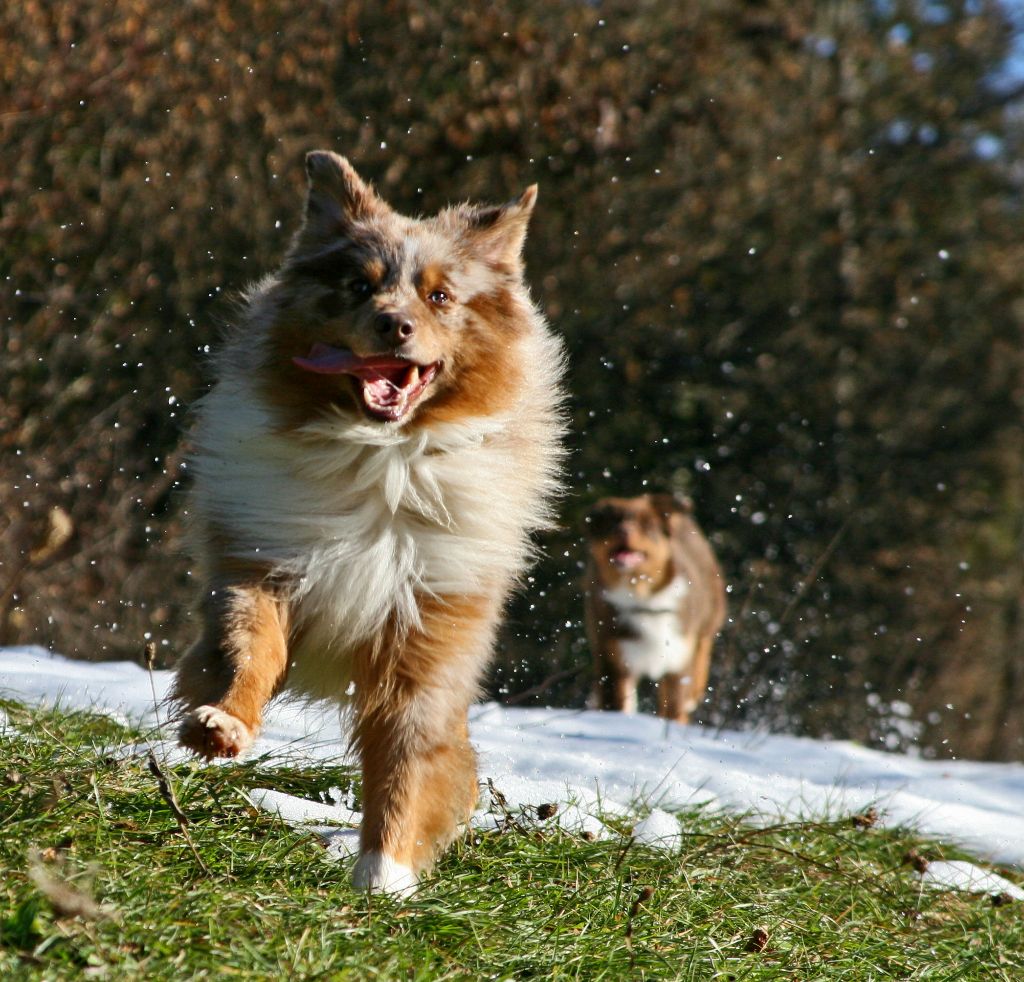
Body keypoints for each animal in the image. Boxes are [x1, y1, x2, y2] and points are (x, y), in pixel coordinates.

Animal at [171, 149, 565, 892]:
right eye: (359, 285)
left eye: (440, 297)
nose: (394, 325)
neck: (382, 457)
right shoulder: (263, 562)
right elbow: (247, 648)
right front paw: (221, 724)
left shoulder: (430, 628)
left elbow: (407, 756)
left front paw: (385, 876)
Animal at [585, 499, 729, 720]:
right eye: (612, 522)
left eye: (647, 525)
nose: (622, 531)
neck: (642, 597)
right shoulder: (614, 657)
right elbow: (616, 704)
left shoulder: (677, 658)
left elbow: (674, 707)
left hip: (709, 617)